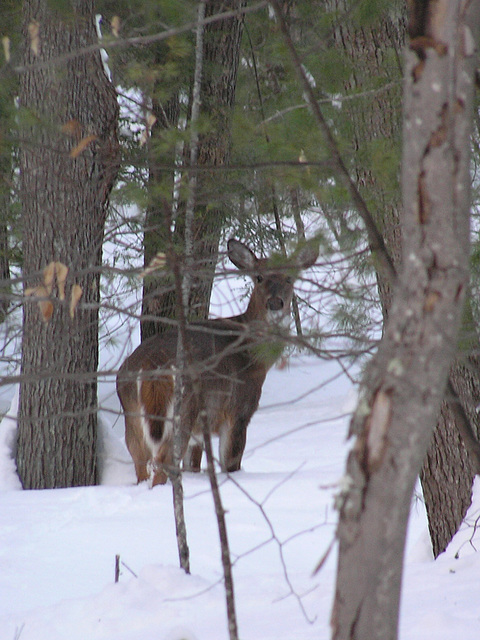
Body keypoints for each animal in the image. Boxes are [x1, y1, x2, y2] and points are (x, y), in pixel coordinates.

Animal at [116, 239, 318, 484]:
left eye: (290, 277)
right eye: (259, 277)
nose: (275, 302)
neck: (253, 355)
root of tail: (151, 365)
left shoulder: (201, 433)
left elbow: (193, 465)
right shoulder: (238, 410)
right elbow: (231, 462)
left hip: (132, 412)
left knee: (140, 459)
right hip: (184, 408)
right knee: (164, 458)